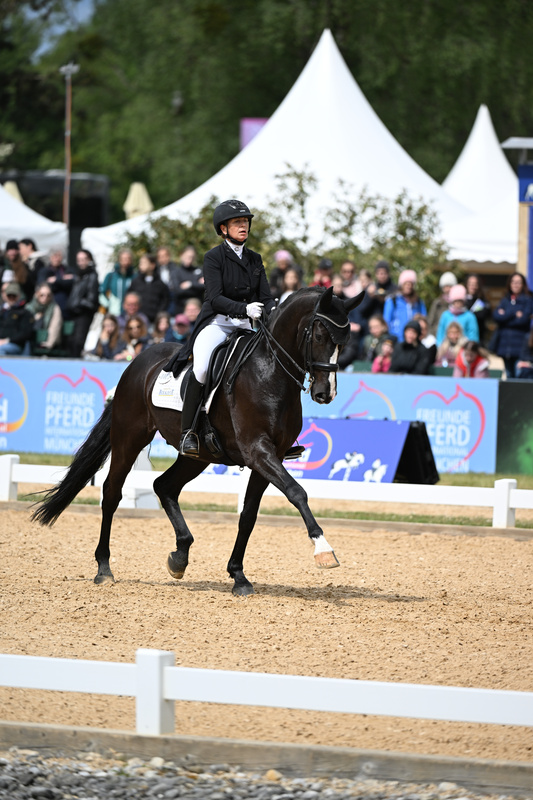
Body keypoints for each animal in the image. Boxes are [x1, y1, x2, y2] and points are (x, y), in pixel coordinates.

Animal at [32, 286, 363, 596]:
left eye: (344, 342)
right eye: (319, 335)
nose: (325, 393)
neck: (270, 373)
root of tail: (138, 361)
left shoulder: (272, 456)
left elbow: (249, 515)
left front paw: (238, 576)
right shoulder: (258, 451)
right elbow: (297, 492)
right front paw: (323, 549)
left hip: (199, 455)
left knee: (164, 486)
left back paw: (179, 556)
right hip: (129, 437)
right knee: (112, 493)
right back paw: (104, 568)